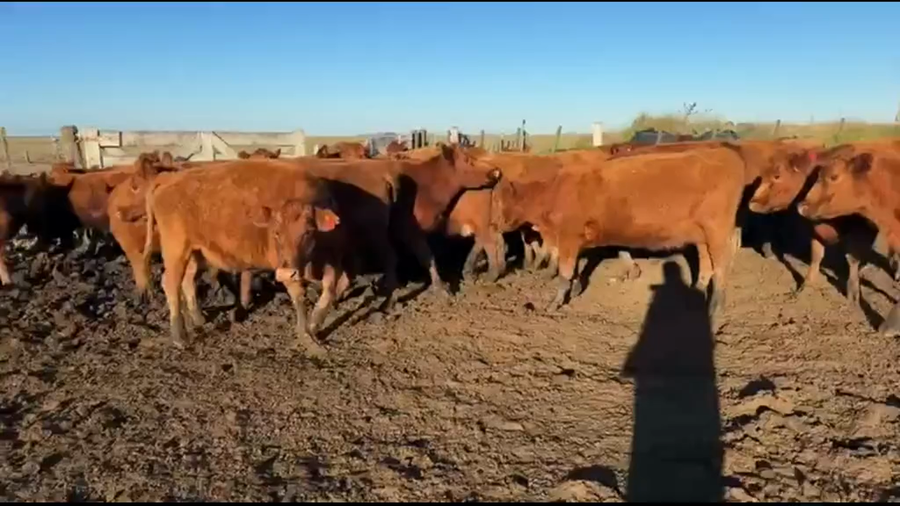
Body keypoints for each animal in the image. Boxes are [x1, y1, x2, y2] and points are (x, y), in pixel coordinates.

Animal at [142, 159, 345, 352]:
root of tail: (169, 178)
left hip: (195, 253)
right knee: (171, 283)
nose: (286, 272)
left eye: (308, 232)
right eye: (276, 233)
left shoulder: (331, 260)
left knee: (188, 281)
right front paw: (305, 334)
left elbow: (329, 289)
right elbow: (299, 298)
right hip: (176, 250)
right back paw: (179, 337)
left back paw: (198, 319)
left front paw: (315, 323)